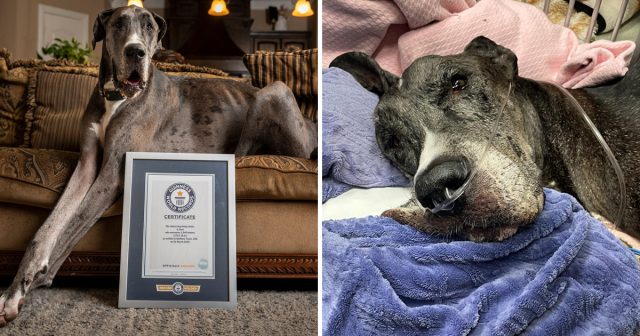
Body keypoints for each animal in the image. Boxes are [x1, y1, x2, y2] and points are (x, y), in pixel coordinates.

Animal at [0, 5, 318, 326]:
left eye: (149, 27)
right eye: (118, 24)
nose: (136, 52)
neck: (116, 97)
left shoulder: (112, 174)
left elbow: (70, 228)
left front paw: (33, 283)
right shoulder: (87, 165)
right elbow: (47, 230)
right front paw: (16, 287)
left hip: (274, 90)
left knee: (244, 150)